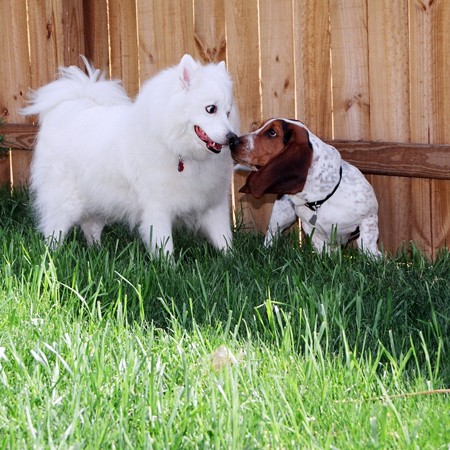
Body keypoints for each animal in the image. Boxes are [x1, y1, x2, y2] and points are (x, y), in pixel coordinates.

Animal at [22, 53, 239, 256]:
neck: (178, 148)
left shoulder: (214, 204)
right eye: (211, 109)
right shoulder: (157, 208)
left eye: (228, 112)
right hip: (66, 201)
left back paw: (97, 250)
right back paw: (52, 256)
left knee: (91, 226)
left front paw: (230, 258)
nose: (232, 137)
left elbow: (224, 238)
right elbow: (164, 244)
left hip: (100, 199)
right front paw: (169, 266)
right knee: (54, 230)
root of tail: (72, 107)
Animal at [230, 118, 382, 256]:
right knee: (272, 233)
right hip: (282, 215)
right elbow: (322, 249)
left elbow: (366, 243)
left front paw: (373, 259)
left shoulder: (369, 218)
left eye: (272, 132)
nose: (232, 140)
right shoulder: (310, 229)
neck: (319, 199)